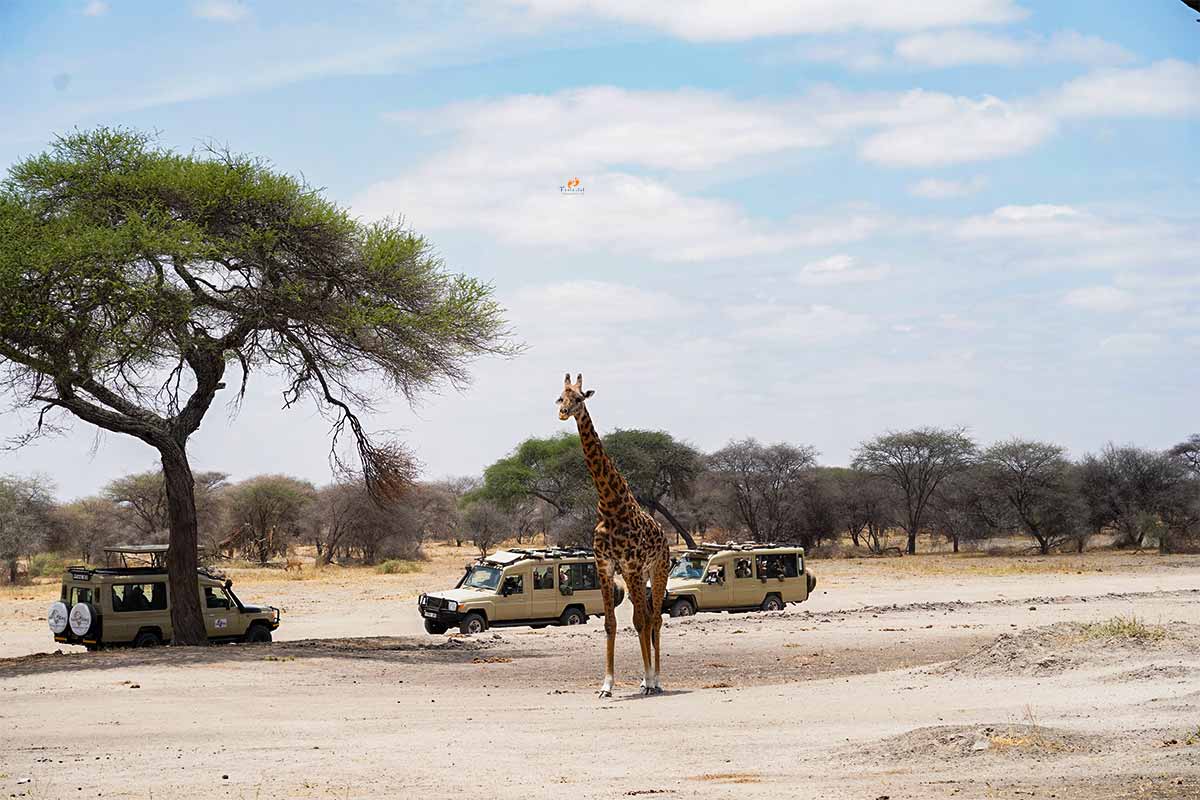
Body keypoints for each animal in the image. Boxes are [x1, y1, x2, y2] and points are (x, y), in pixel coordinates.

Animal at [554, 374, 672, 695]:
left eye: (579, 398)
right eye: (560, 397)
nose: (563, 413)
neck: (609, 505)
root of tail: (665, 535)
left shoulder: (629, 566)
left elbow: (640, 621)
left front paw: (648, 680)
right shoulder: (605, 565)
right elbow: (610, 623)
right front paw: (606, 685)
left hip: (657, 570)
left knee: (655, 618)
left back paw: (656, 680)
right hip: (640, 576)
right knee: (647, 617)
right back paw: (646, 679)